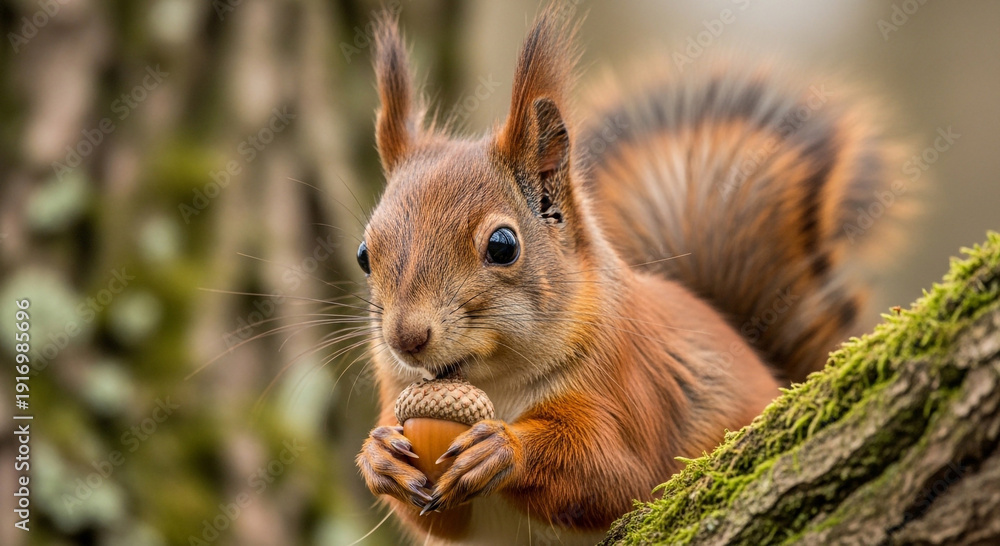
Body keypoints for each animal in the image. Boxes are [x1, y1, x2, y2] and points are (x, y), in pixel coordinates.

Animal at [355, 7, 903, 545]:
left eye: (503, 246)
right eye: (364, 254)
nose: (406, 338)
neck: (497, 385)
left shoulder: (630, 389)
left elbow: (615, 475)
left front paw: (505, 447)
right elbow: (433, 518)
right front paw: (379, 456)